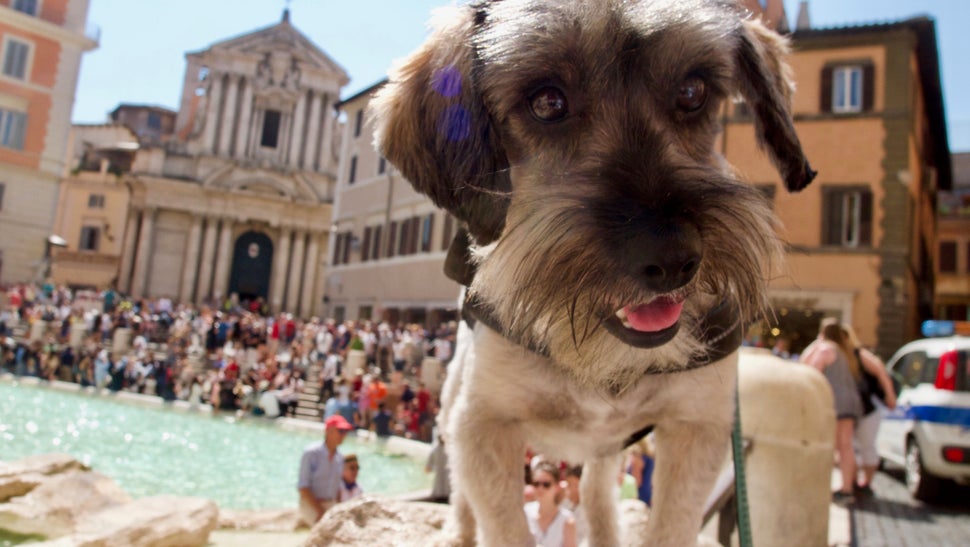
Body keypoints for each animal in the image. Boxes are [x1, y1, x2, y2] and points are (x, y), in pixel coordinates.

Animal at [374, 2, 812, 544]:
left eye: (692, 92)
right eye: (547, 102)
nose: (672, 257)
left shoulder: (697, 428)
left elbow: (668, 525)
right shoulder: (482, 426)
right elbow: (499, 521)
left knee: (596, 490)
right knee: (460, 493)